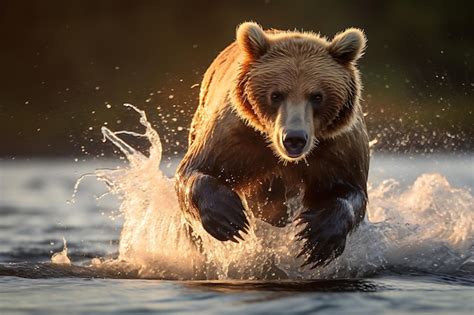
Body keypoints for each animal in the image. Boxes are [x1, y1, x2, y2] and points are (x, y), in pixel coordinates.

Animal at [175, 22, 370, 270]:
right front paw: (230, 218)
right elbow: (197, 168)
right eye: (276, 95)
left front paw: (317, 237)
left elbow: (350, 190)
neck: (282, 156)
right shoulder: (236, 135)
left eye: (317, 96)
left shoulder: (337, 147)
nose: (294, 138)